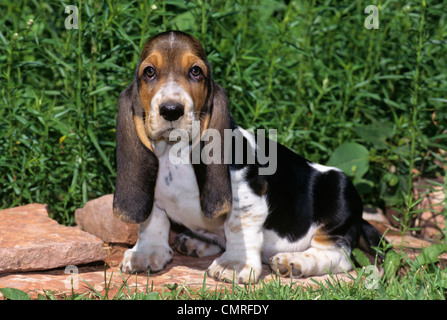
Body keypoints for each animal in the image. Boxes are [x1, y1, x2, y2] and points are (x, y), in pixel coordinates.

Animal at [113, 31, 384, 284]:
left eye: (196, 72)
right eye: (149, 72)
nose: (171, 110)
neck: (174, 154)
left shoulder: (247, 195)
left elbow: (236, 226)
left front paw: (234, 265)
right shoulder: (153, 198)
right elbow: (153, 222)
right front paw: (146, 254)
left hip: (339, 194)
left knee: (339, 256)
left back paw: (294, 261)